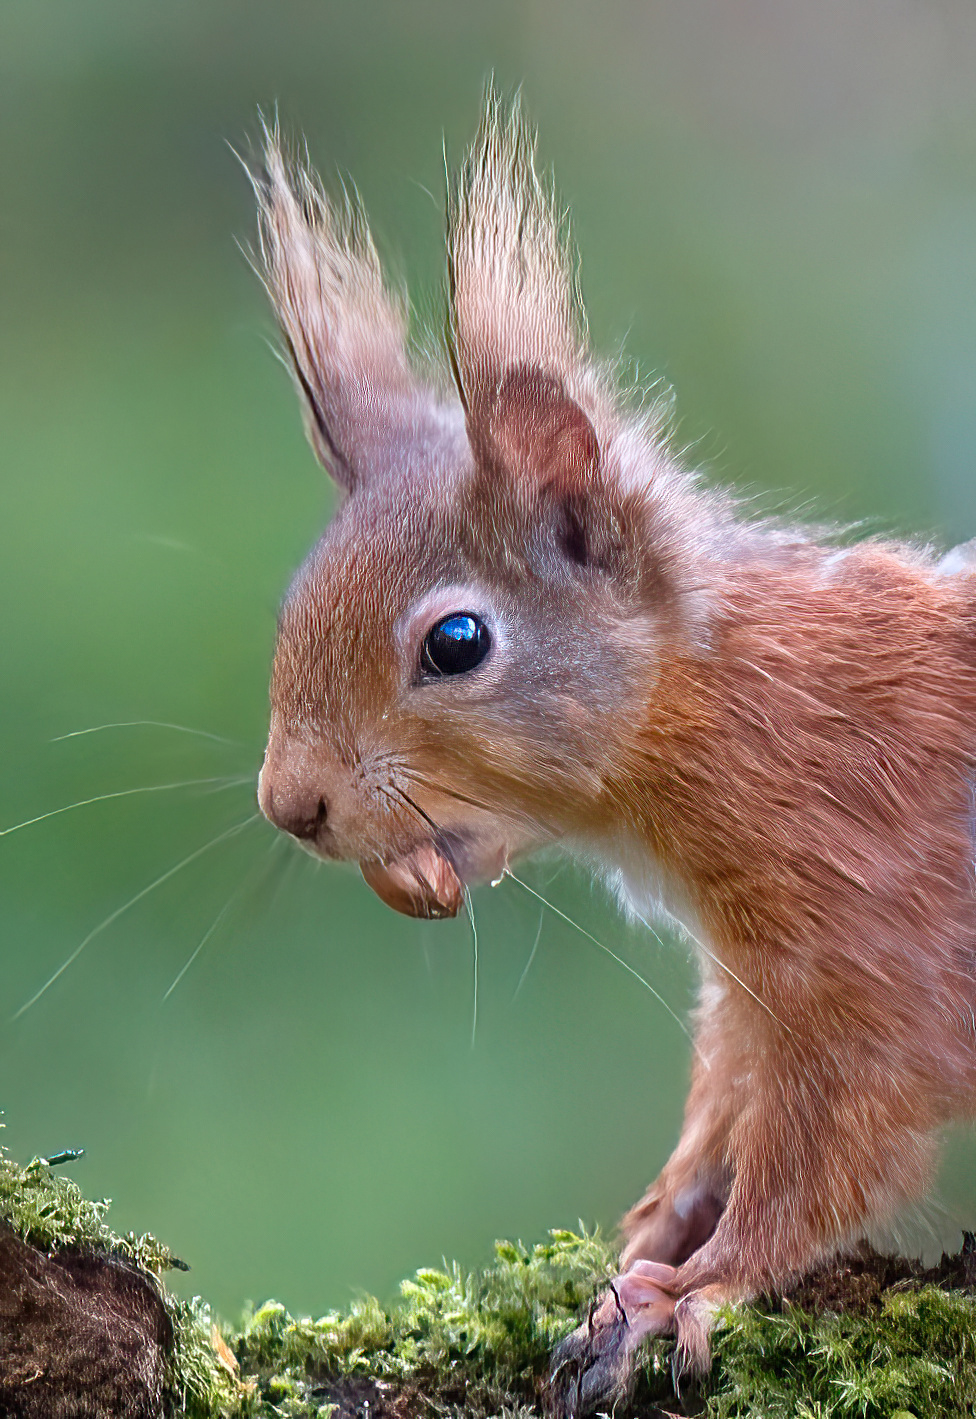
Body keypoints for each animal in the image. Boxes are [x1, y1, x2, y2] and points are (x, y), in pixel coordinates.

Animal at [251, 94, 976, 1408]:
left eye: (456, 642)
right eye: (294, 600)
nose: (292, 805)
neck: (724, 710)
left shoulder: (868, 945)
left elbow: (822, 1154)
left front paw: (694, 1289)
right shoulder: (748, 993)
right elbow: (722, 1116)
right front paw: (652, 1228)